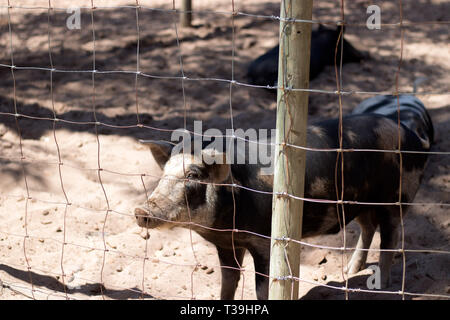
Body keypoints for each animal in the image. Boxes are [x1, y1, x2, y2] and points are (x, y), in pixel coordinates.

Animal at [135, 95, 434, 300]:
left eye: (193, 175)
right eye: (165, 172)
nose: (141, 211)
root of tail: (414, 137)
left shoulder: (265, 240)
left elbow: (263, 287)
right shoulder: (226, 243)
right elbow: (228, 282)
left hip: (397, 197)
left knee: (390, 237)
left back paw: (382, 285)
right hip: (358, 203)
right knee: (368, 228)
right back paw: (350, 272)